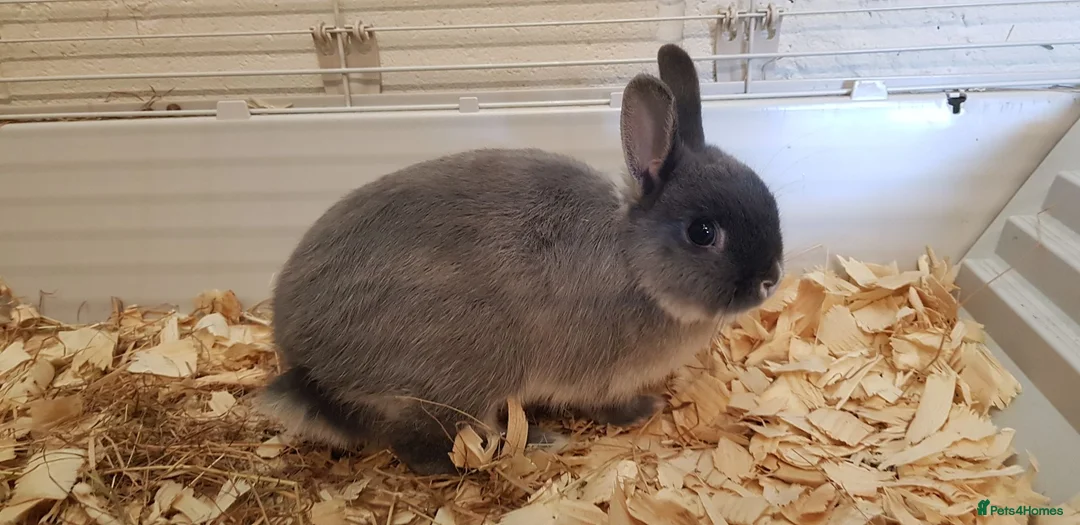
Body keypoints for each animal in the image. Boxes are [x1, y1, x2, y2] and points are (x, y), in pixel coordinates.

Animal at [256, 43, 784, 476]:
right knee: (423, 448)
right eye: (702, 233)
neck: (635, 264)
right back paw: (522, 448)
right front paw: (644, 409)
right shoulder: (597, 375)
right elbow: (605, 405)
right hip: (463, 373)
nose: (771, 279)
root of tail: (309, 371)